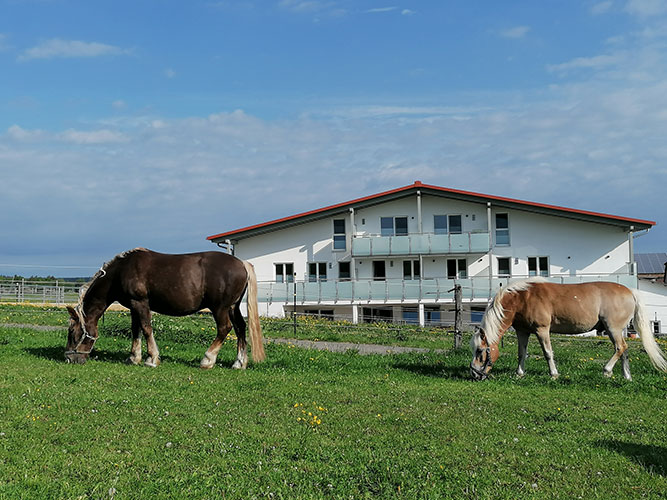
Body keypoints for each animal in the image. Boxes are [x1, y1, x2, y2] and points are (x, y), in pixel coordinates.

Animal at [65, 248, 266, 370]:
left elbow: (146, 329)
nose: (69, 358)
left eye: (73, 333)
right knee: (240, 328)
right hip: (233, 307)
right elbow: (136, 330)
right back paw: (239, 363)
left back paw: (207, 360)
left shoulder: (140, 303)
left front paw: (151, 359)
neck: (121, 271)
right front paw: (134, 357)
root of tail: (242, 264)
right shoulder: (133, 306)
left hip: (220, 308)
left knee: (225, 329)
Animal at [470, 280, 667, 380]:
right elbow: (521, 353)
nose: (474, 374)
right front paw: (519, 373)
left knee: (620, 348)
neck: (522, 298)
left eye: (480, 351)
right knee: (624, 350)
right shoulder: (522, 331)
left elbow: (548, 353)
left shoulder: (542, 330)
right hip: (617, 330)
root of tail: (630, 291)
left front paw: (554, 374)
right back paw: (626, 377)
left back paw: (606, 370)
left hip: (613, 328)